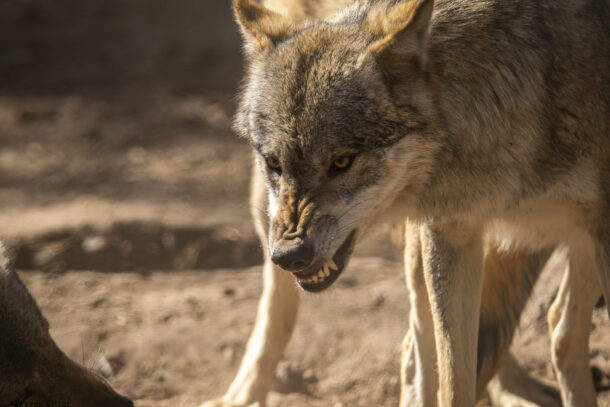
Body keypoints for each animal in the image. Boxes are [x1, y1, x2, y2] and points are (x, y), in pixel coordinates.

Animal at [203, 0, 609, 406]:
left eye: (342, 162)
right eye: (274, 162)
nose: (289, 255)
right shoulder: (451, 231)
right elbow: (455, 379)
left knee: (558, 331)